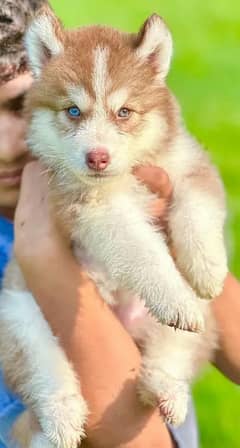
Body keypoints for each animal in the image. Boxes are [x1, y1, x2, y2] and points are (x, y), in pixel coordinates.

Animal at [0, 4, 226, 448]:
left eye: (124, 112)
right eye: (73, 111)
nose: (97, 157)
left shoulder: (189, 166)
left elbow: (197, 210)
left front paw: (206, 269)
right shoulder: (95, 209)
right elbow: (142, 249)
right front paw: (174, 293)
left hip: (193, 329)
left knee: (169, 354)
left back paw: (167, 389)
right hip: (18, 313)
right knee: (43, 373)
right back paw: (62, 418)